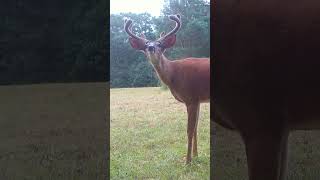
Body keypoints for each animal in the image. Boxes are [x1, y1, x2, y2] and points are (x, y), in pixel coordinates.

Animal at [124, 14, 210, 163]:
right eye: (145, 45)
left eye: (160, 44)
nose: (151, 47)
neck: (173, 74)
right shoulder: (198, 100)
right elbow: (195, 128)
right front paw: (196, 155)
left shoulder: (191, 98)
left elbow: (189, 130)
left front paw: (187, 161)